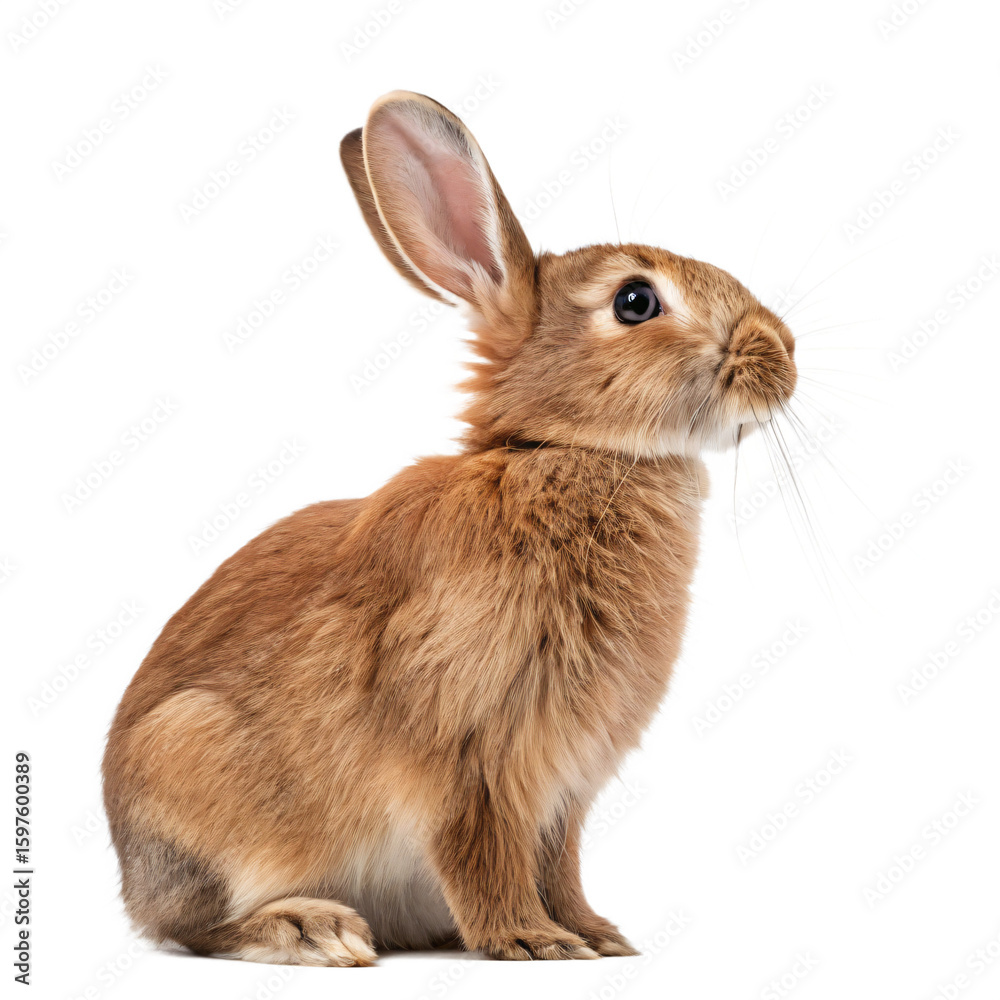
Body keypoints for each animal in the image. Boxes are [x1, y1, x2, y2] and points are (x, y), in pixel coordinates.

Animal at [102, 90, 797, 966]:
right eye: (635, 301)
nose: (784, 354)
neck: (558, 452)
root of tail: (130, 872)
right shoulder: (468, 756)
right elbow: (481, 852)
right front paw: (531, 942)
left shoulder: (564, 787)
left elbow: (558, 861)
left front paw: (597, 936)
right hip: (193, 763)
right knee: (192, 927)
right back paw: (313, 928)